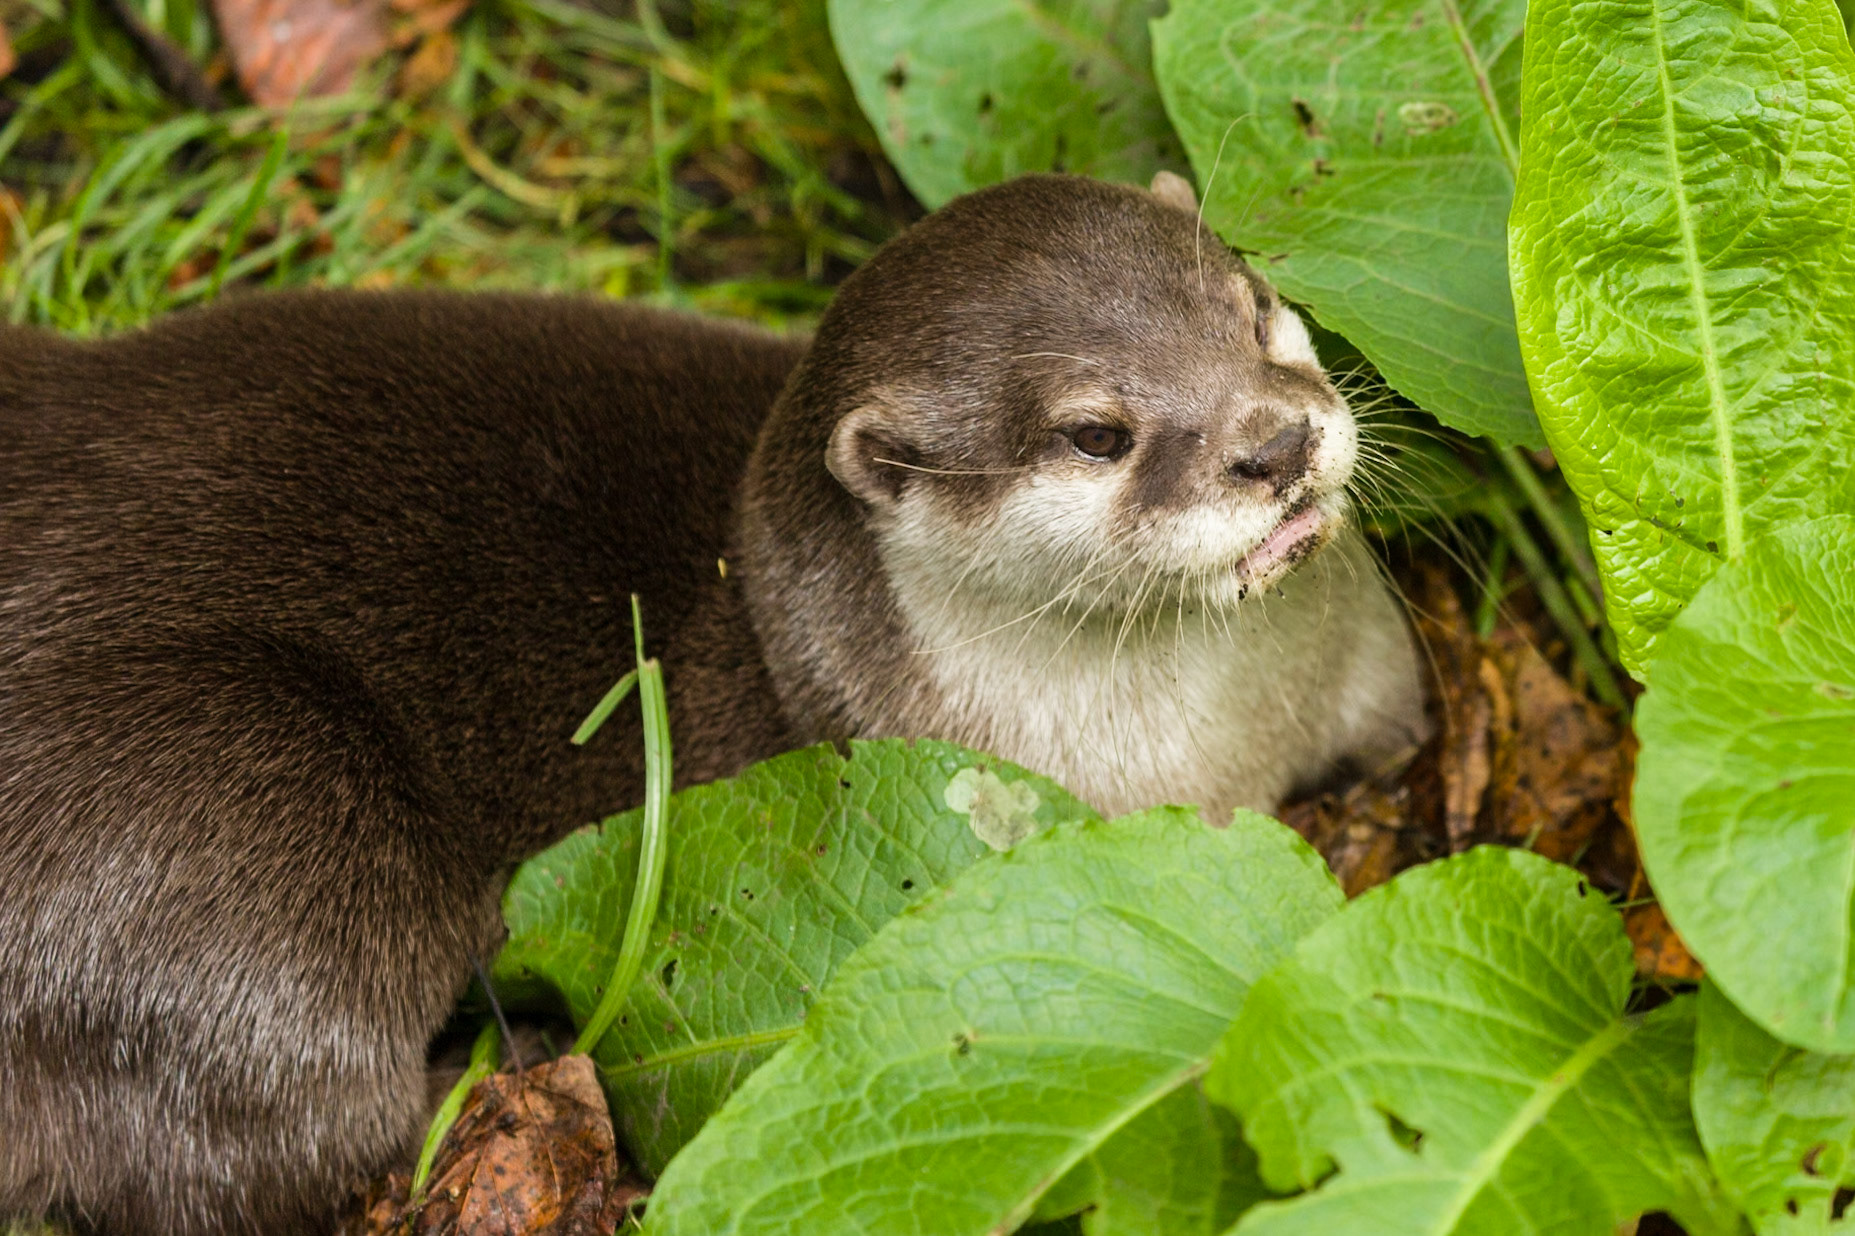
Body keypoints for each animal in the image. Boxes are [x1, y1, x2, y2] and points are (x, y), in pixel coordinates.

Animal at [0, 172, 1423, 1235]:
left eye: (1252, 306)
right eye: (1095, 434)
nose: (1274, 442)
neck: (1223, 746)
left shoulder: (1375, 667)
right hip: (253, 799)